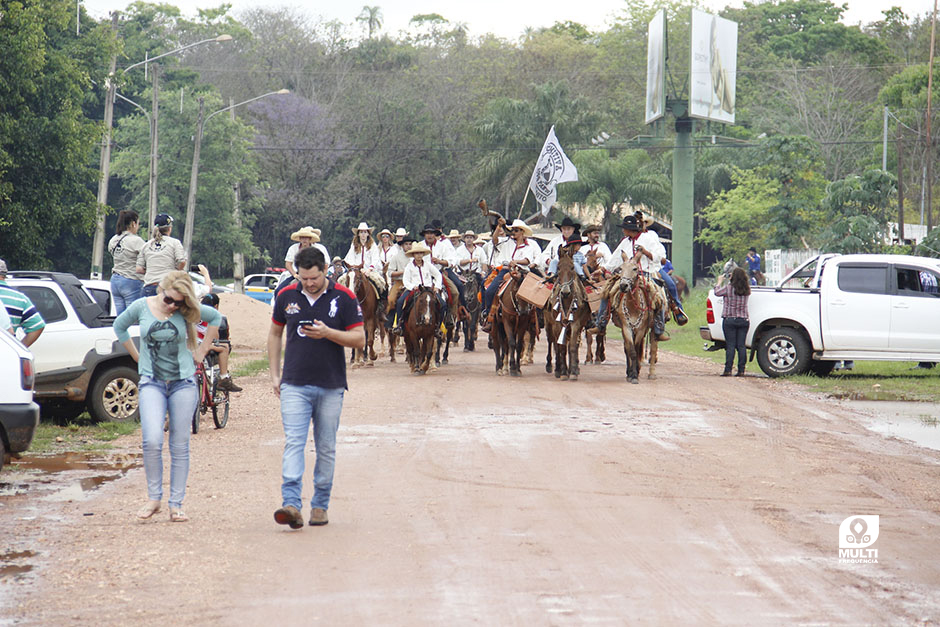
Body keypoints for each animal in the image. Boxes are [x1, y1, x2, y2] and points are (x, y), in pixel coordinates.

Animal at [540, 248, 592, 380]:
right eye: (558, 267)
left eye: (572, 267)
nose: (565, 292)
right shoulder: (558, 324)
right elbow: (561, 347)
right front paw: (563, 372)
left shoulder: (575, 324)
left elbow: (572, 346)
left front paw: (573, 371)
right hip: (549, 324)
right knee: (552, 342)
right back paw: (554, 367)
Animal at [604, 254, 660, 382]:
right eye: (621, 268)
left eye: (635, 269)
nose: (623, 285)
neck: (633, 306)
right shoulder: (626, 328)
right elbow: (631, 351)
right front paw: (632, 375)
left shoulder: (640, 329)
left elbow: (637, 348)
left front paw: (636, 373)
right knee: (627, 349)